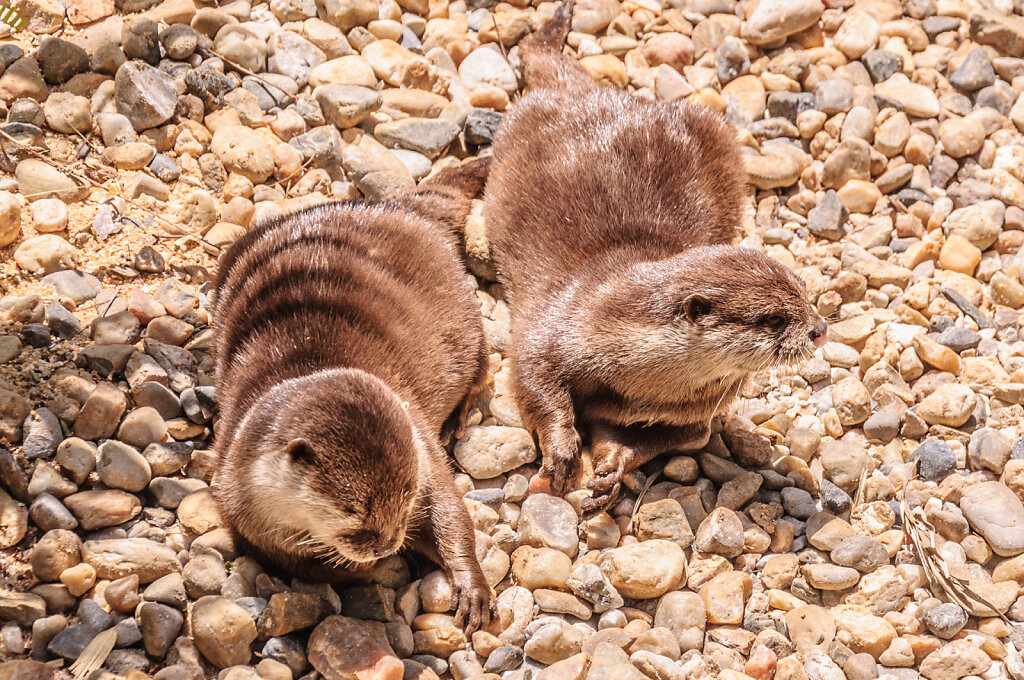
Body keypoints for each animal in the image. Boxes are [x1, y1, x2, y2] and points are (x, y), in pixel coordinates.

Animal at [212, 158, 492, 631]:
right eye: (353, 514)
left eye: (406, 495)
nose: (388, 544)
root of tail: (396, 209)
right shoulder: (236, 492)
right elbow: (286, 559)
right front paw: (358, 567)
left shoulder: (421, 447)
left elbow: (450, 513)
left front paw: (471, 586)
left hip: (466, 316)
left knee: (482, 360)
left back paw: (457, 419)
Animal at [484, 2, 827, 512]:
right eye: (773, 319)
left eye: (806, 296)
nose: (819, 328)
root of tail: (592, 94)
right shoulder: (551, 325)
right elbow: (533, 378)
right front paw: (561, 453)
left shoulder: (692, 411)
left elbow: (673, 438)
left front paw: (612, 469)